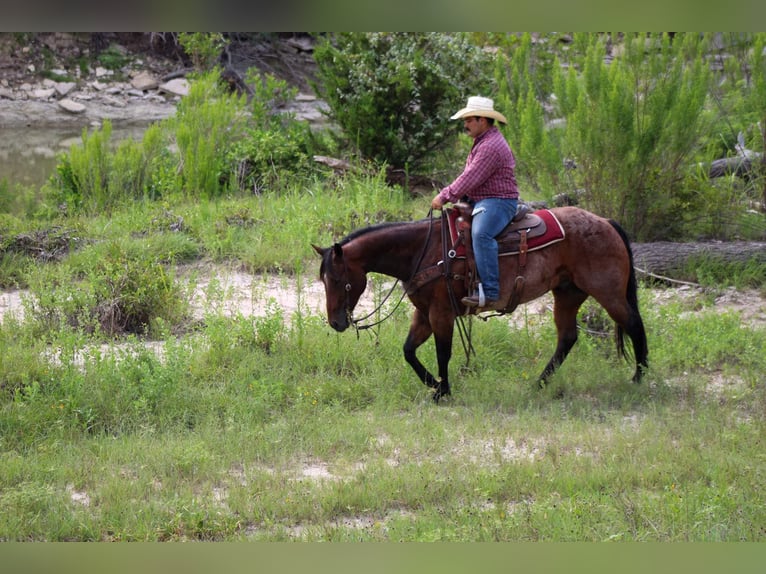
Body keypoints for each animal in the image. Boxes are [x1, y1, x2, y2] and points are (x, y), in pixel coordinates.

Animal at [312, 205, 648, 402]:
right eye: (323, 280)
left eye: (338, 279)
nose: (336, 322)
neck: (421, 250)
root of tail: (606, 222)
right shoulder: (423, 313)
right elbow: (409, 351)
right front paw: (433, 384)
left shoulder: (442, 312)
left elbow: (443, 352)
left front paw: (442, 391)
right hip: (567, 293)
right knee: (567, 338)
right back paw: (539, 384)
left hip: (607, 292)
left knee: (634, 324)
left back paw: (639, 377)